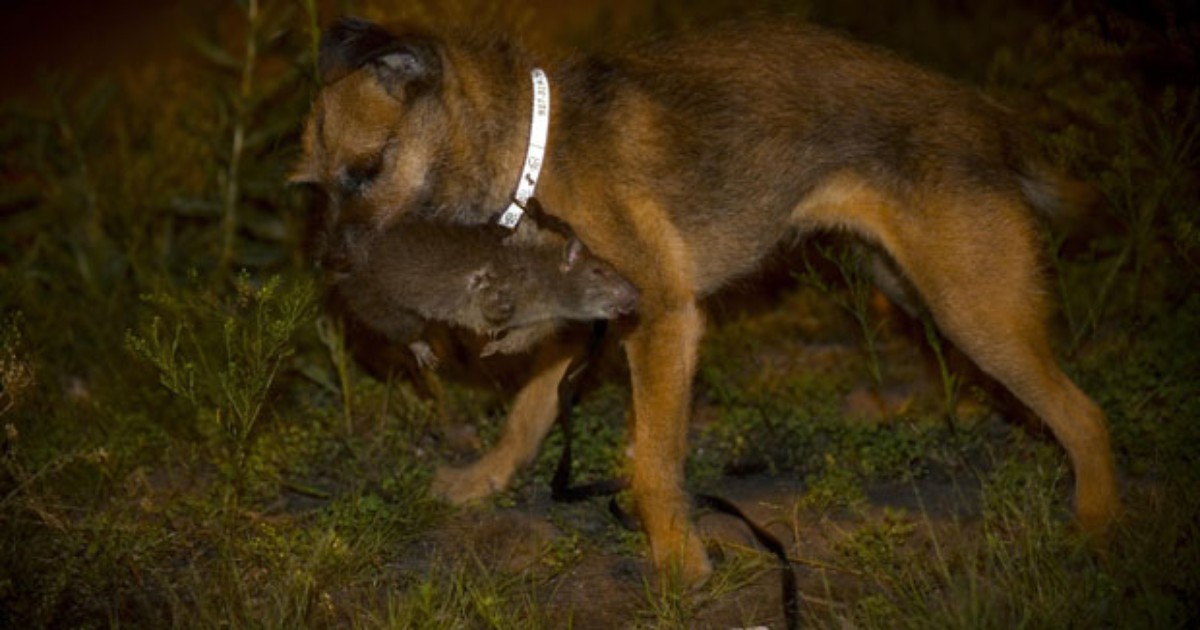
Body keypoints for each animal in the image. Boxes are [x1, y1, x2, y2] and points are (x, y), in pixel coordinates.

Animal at [295, 15, 1118, 585]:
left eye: (368, 170)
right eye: (314, 188)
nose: (333, 270)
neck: (526, 153)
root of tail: (983, 113)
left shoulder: (659, 318)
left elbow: (653, 464)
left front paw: (679, 568)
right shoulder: (581, 315)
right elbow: (528, 414)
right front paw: (484, 479)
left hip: (971, 310)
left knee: (1085, 415)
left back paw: (1096, 530)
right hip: (909, 287)